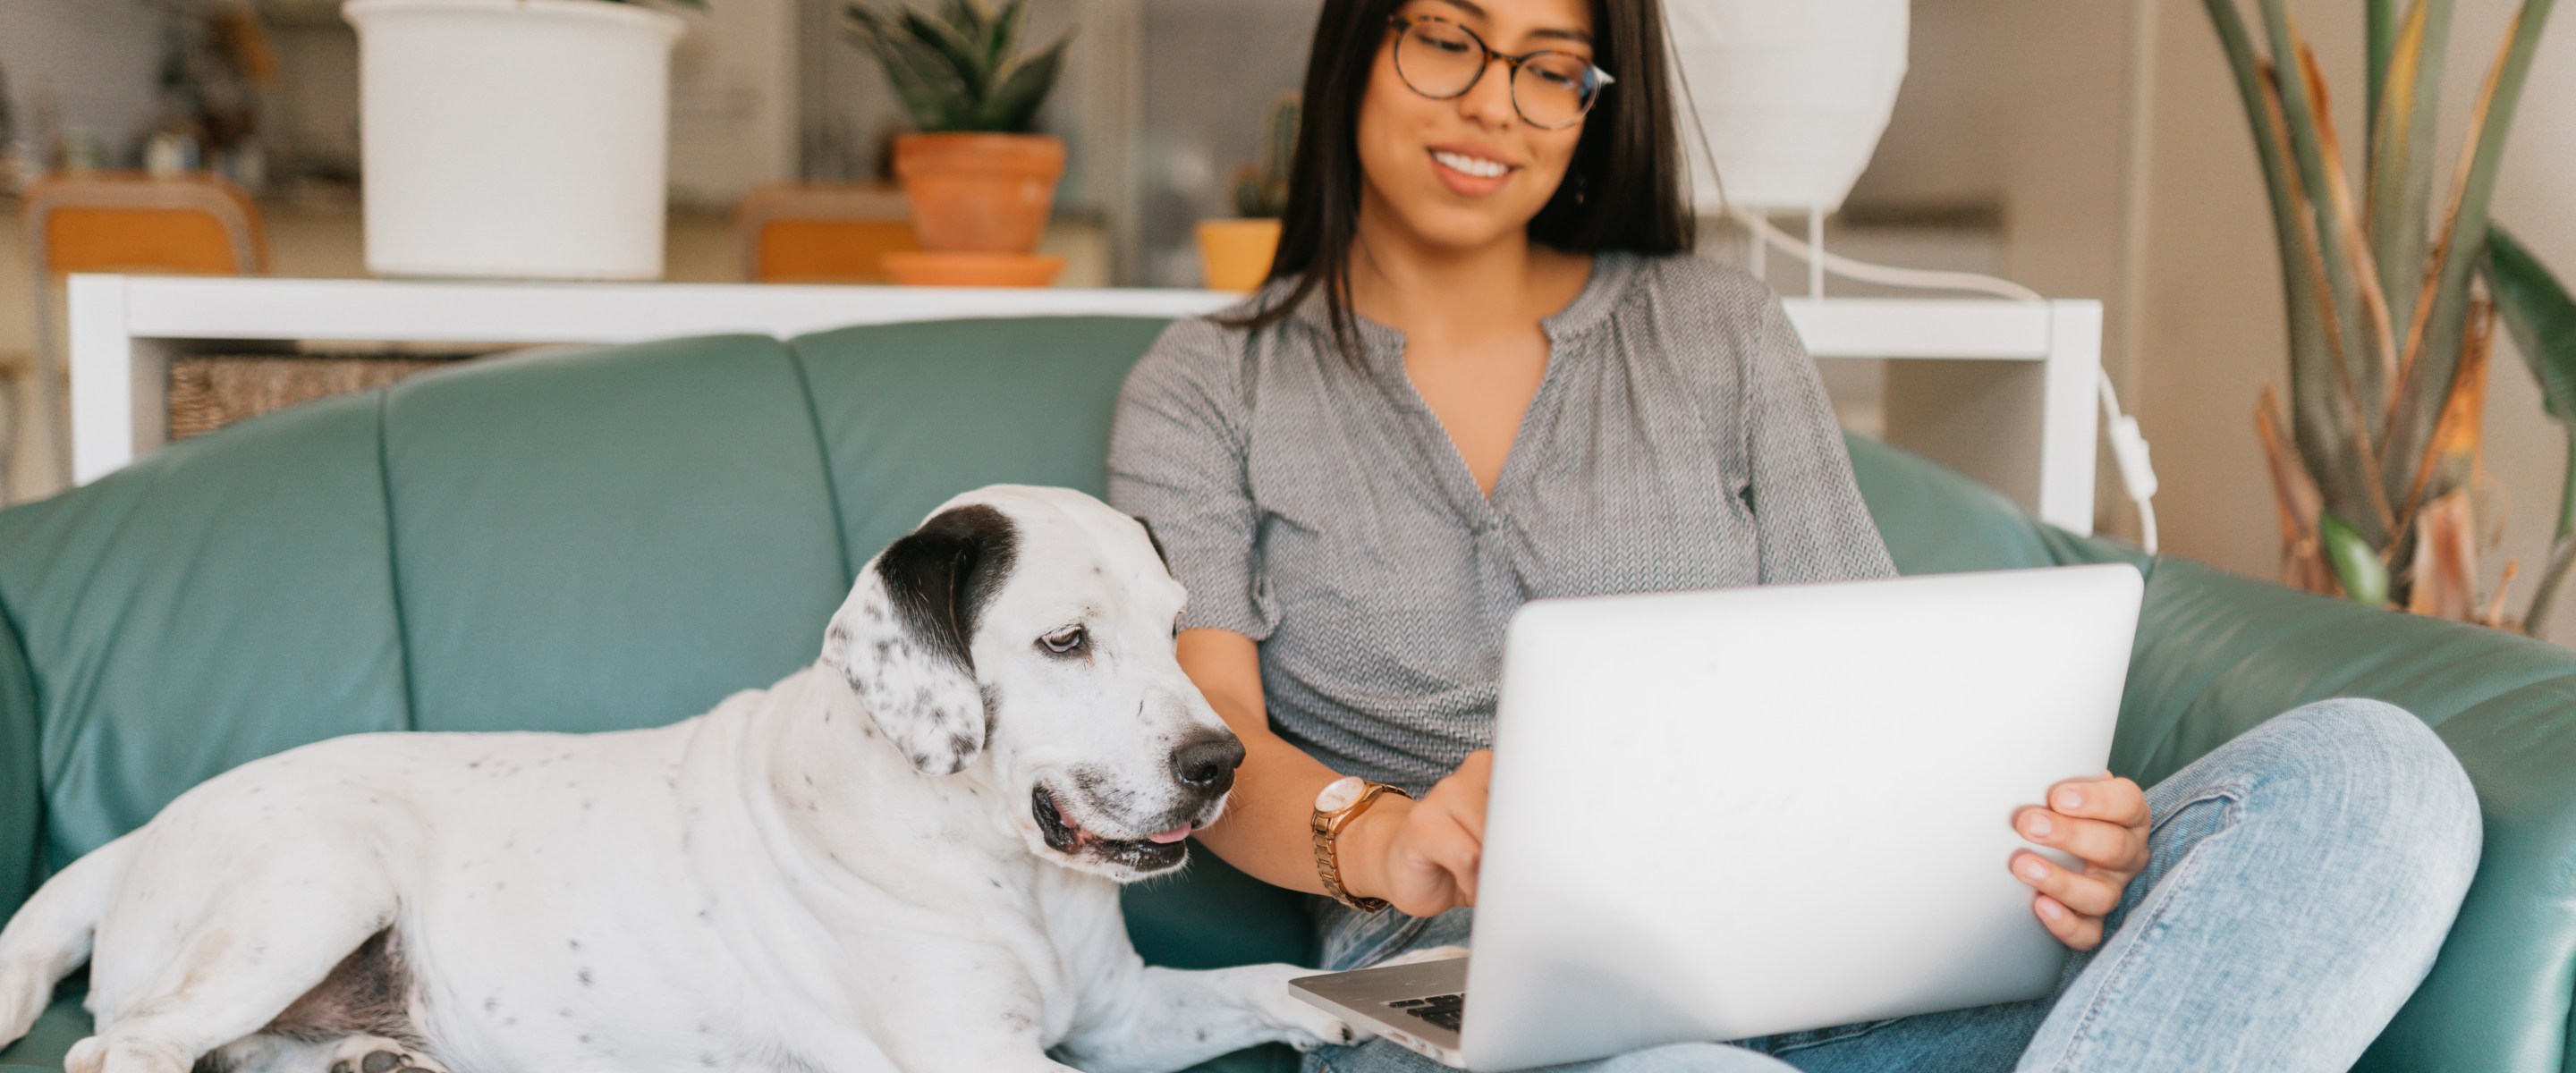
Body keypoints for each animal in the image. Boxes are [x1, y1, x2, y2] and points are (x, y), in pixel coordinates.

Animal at [0, 486, 1360, 1070]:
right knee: (126, 1051)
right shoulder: (976, 1057)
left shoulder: (1124, 1020)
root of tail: (140, 834)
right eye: (1066, 640)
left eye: (1177, 627)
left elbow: (1273, 987)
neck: (997, 866)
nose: (1222, 762)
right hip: (319, 879)